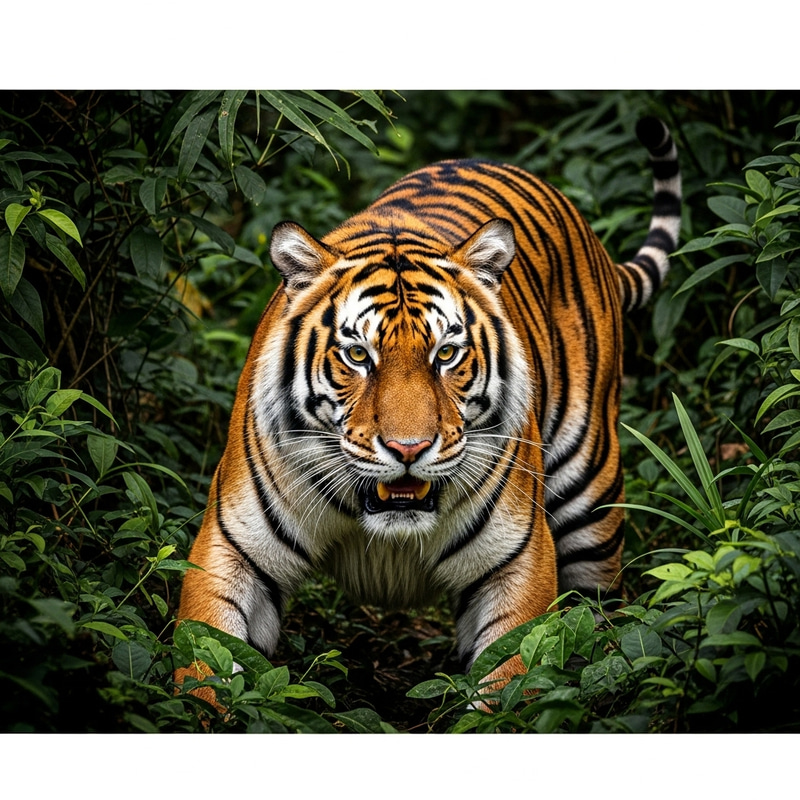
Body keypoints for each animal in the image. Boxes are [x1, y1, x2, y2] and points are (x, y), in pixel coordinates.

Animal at [176, 116, 681, 695]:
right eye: (357, 355)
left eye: (445, 354)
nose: (408, 449)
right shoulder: (230, 550)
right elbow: (202, 665)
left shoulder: (518, 561)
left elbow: (513, 680)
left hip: (592, 496)